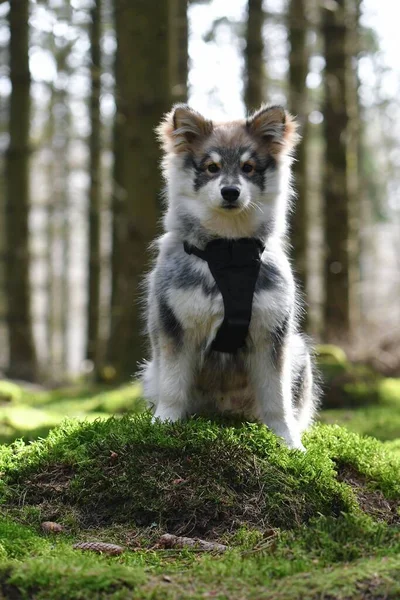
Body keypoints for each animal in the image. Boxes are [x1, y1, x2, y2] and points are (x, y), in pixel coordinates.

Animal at [142, 104, 318, 450]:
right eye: (212, 167)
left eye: (249, 167)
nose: (230, 191)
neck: (229, 250)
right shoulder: (175, 329)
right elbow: (173, 387)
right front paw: (165, 422)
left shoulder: (271, 336)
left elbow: (277, 400)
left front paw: (289, 442)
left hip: (299, 352)